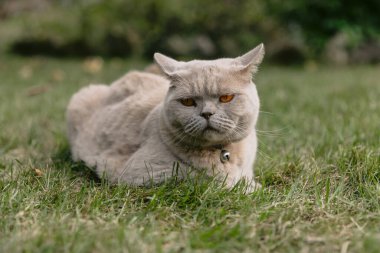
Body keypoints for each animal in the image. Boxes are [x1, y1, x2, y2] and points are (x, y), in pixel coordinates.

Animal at [67, 43, 264, 192]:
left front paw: (252, 186)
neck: (223, 153)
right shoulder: (144, 172)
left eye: (226, 98)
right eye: (187, 102)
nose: (207, 114)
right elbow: (200, 179)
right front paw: (244, 188)